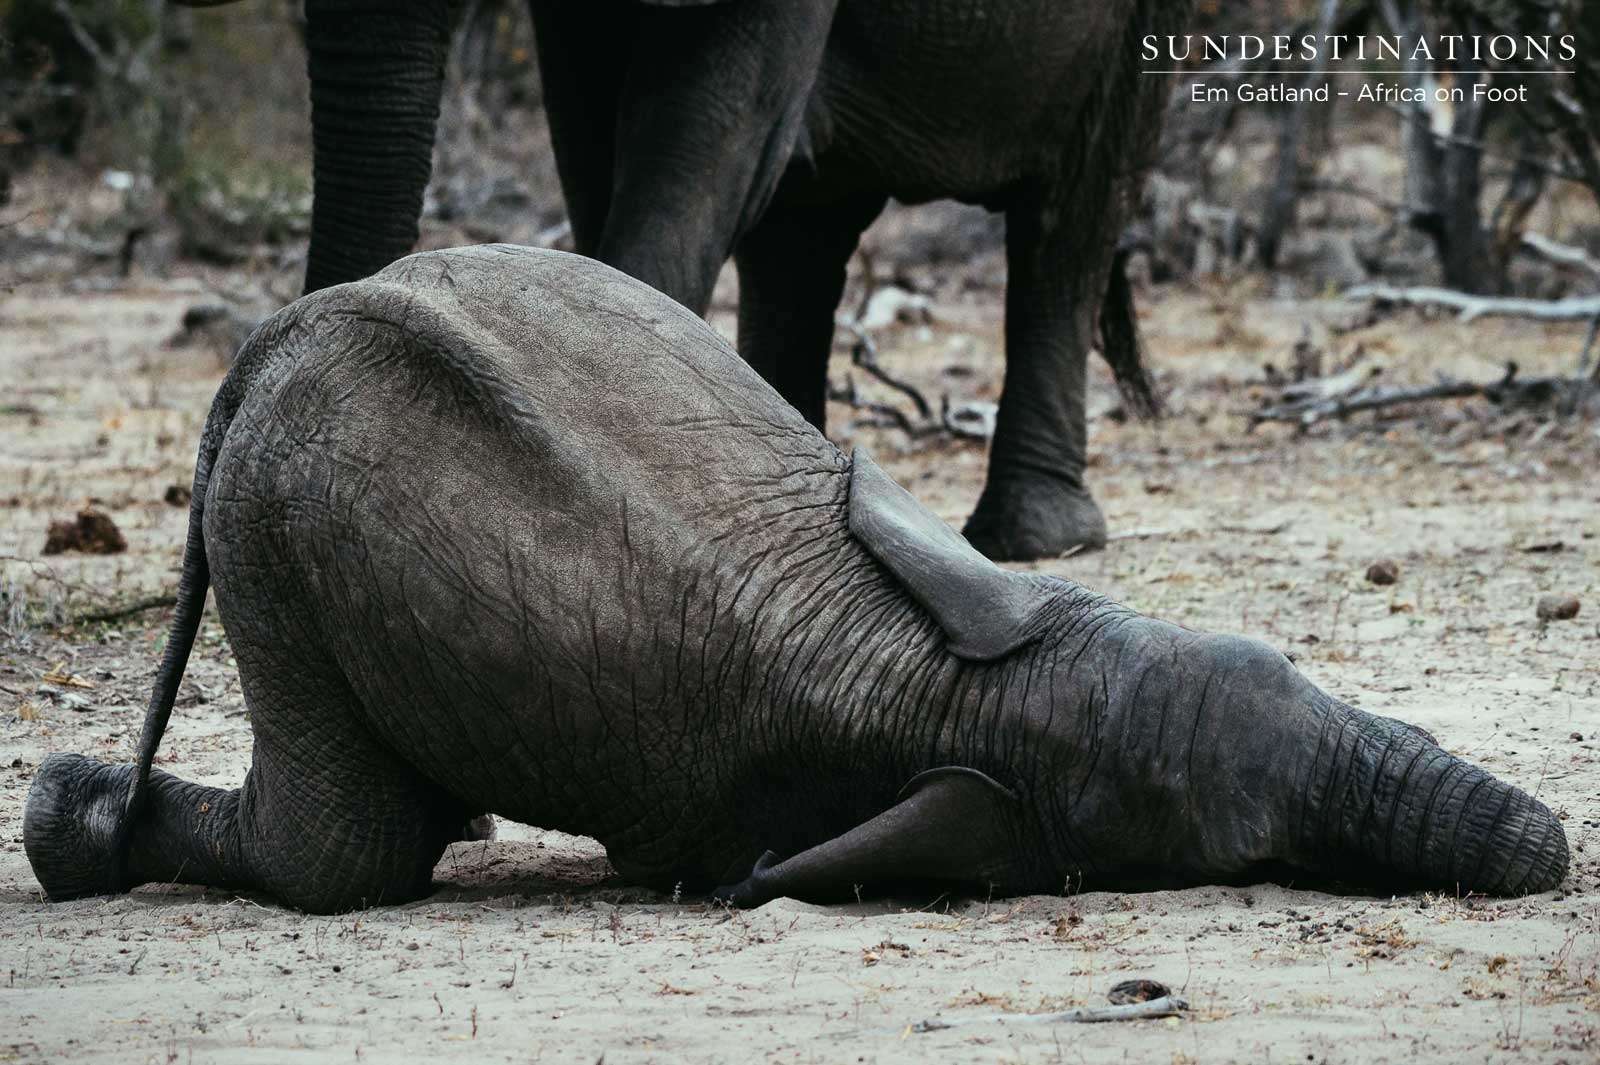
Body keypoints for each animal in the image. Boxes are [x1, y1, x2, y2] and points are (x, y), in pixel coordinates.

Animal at [24, 246, 1568, 914]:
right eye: (1247, 854)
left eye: (1294, 665)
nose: (1553, 851)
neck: (949, 682)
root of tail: (271, 339)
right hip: (275, 534)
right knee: (339, 859)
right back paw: (68, 826)